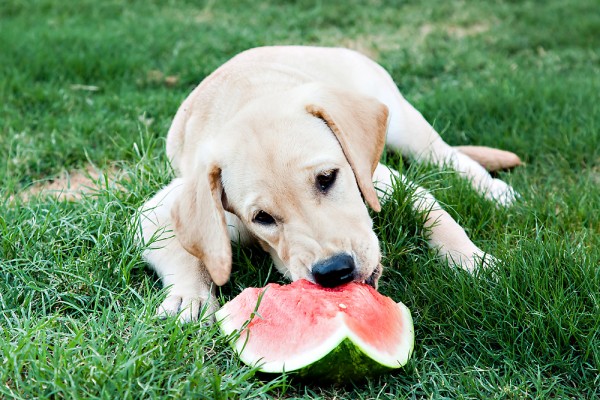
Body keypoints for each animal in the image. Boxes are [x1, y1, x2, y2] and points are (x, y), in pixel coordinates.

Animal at [137, 46, 520, 322]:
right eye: (262, 218)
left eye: (327, 178)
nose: (334, 271)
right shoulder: (159, 210)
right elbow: (181, 251)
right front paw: (190, 296)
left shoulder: (380, 178)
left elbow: (438, 216)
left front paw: (471, 260)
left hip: (404, 124)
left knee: (446, 155)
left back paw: (492, 189)